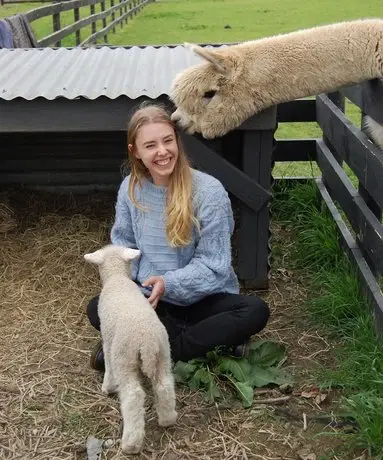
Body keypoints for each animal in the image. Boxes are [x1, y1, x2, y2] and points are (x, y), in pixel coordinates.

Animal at [83, 244, 178, 452]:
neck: (117, 277)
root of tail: (146, 341)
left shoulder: (108, 339)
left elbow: (108, 365)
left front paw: (107, 387)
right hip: (163, 354)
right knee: (164, 385)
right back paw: (167, 419)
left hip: (125, 358)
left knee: (133, 396)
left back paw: (130, 444)